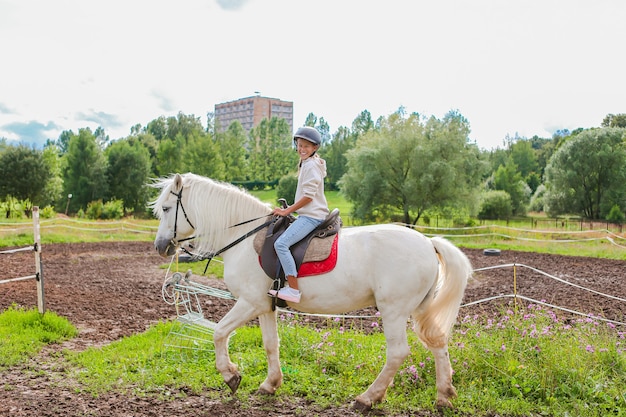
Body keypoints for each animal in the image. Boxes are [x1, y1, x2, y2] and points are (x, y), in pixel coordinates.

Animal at [151, 172, 470, 410]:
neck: (244, 237)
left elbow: (218, 332)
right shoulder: (264, 306)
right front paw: (270, 384)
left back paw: (367, 398)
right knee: (438, 343)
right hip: (419, 310)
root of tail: (428, 242)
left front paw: (231, 376)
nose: (160, 247)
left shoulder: (249, 302)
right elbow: (271, 344)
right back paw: (444, 396)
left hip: (394, 311)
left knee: (398, 353)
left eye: (166, 209)